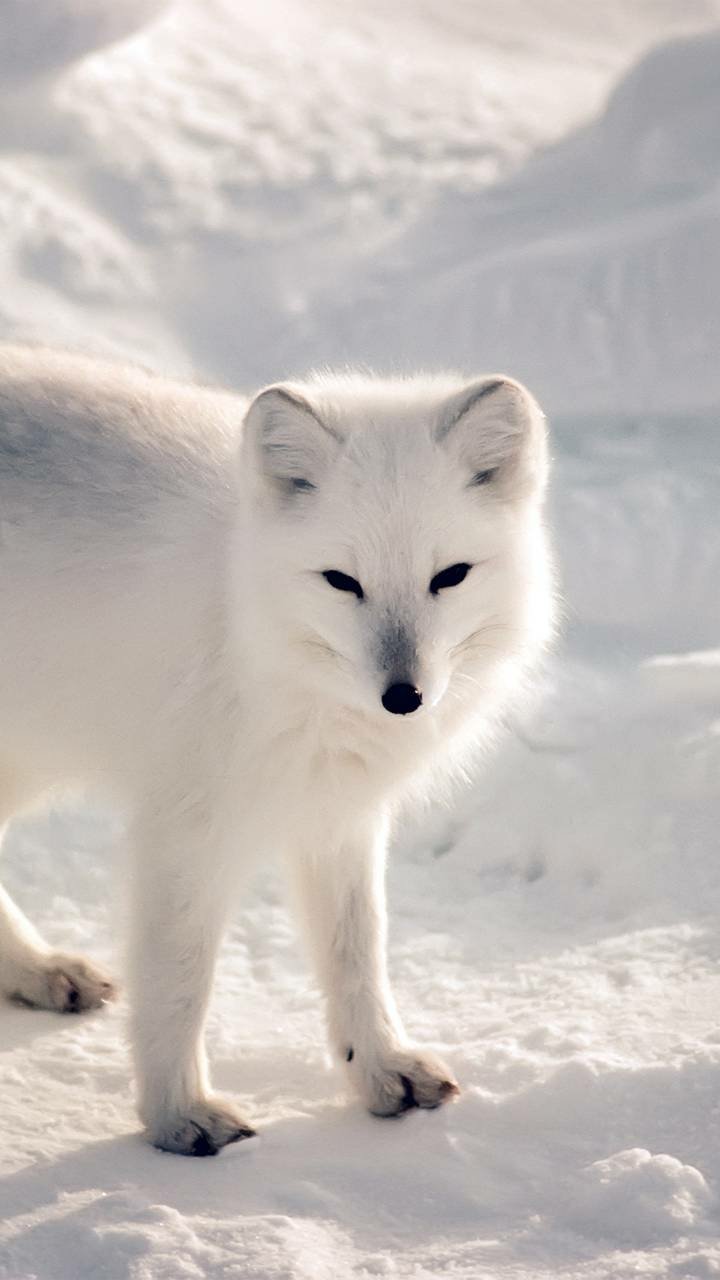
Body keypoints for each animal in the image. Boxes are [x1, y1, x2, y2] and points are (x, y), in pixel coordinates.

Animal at [0, 345, 553, 1155]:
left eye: (449, 577)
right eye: (341, 581)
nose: (404, 697)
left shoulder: (338, 814)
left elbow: (358, 951)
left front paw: (380, 1069)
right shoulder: (186, 828)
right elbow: (179, 979)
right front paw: (178, 1116)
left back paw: (36, 969)